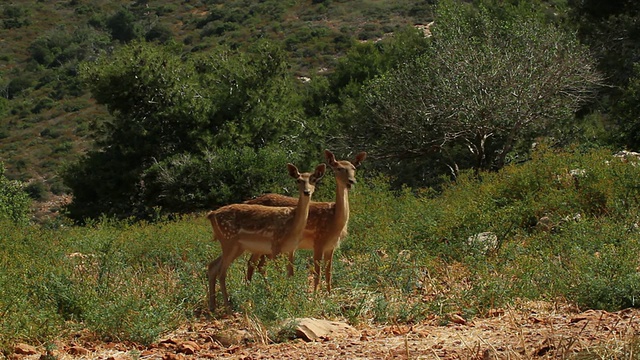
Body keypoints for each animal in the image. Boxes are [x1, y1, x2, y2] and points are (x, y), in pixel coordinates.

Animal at [206, 163, 324, 312]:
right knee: (222, 271)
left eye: (313, 179)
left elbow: (290, 273)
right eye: (298, 180)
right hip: (228, 239)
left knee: (213, 266)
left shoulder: (291, 249)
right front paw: (282, 299)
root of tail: (211, 214)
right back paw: (228, 307)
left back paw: (213, 306)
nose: (307, 192)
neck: (292, 225)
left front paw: (291, 301)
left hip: (237, 246)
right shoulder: (275, 247)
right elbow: (280, 273)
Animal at [244, 149, 364, 292]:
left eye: (354, 168)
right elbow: (318, 273)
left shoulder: (332, 246)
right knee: (256, 263)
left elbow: (329, 273)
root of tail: (248, 201)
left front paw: (329, 294)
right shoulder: (318, 241)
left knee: (254, 263)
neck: (335, 222)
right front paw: (315, 295)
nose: (351, 181)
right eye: (339, 168)